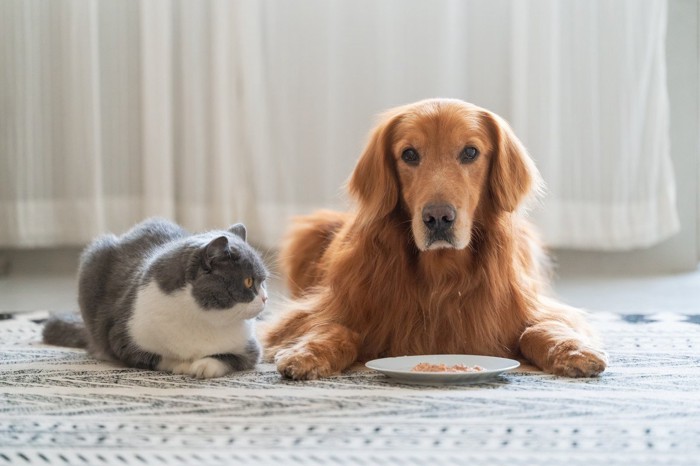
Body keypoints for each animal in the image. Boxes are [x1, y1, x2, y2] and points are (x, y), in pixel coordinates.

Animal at [42, 218, 268, 378]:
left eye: (263, 282)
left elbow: (228, 357)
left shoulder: (250, 348)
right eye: (249, 282)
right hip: (94, 258)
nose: (265, 298)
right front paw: (182, 365)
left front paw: (204, 365)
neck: (205, 319)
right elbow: (158, 358)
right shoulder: (122, 337)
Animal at [262, 97, 608, 378]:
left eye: (470, 152)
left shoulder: (534, 309)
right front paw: (306, 354)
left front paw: (575, 351)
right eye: (409, 154)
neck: (441, 273)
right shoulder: (317, 310)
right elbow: (335, 329)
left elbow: (539, 329)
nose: (438, 218)